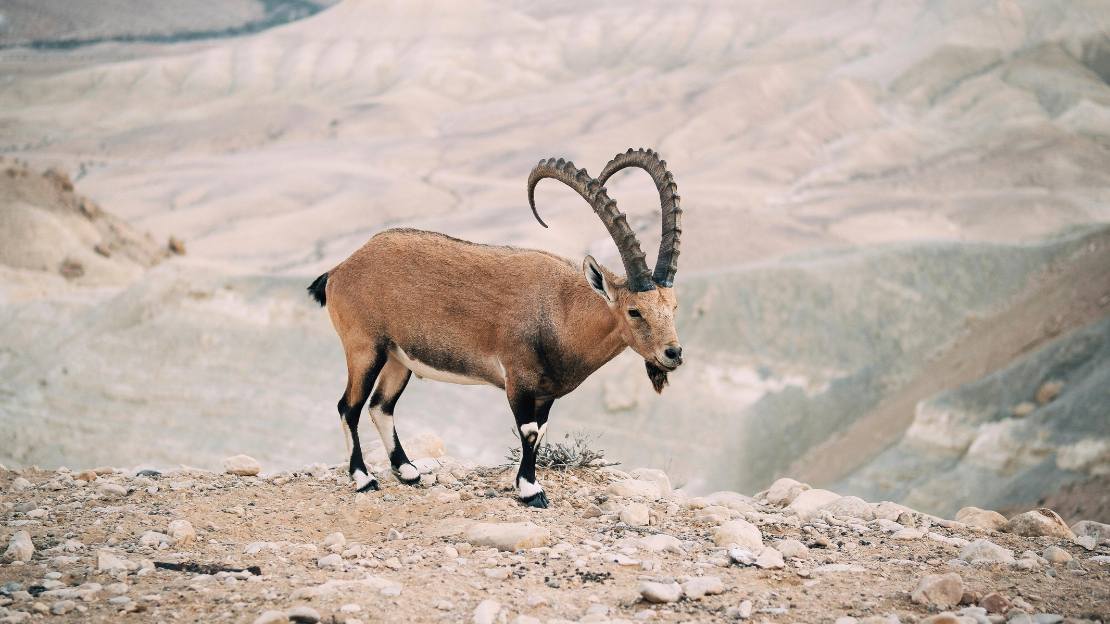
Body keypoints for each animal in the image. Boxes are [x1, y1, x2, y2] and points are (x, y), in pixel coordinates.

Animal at [307, 148, 683, 507]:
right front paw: (531, 492)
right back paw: (363, 478)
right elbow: (528, 432)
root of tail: (339, 270)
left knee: (381, 406)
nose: (673, 353)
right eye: (634, 311)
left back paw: (407, 470)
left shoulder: (545, 392)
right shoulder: (517, 379)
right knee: (349, 406)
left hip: (398, 359)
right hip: (364, 348)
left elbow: (540, 431)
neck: (560, 310)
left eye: (674, 306)